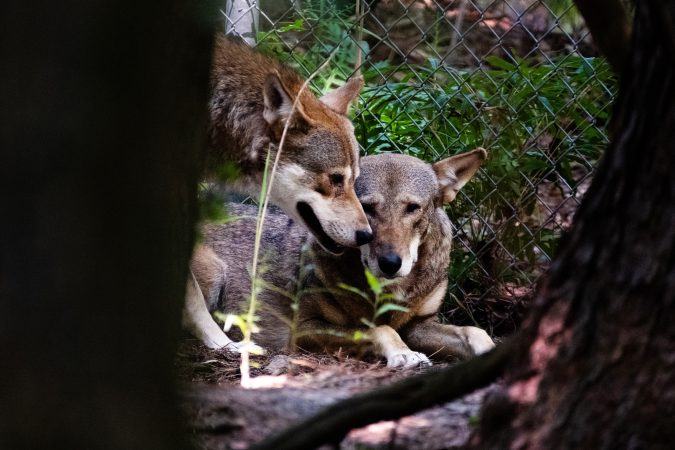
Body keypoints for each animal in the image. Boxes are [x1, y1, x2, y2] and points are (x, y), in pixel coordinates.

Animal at [193, 149, 496, 367]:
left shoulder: (418, 326)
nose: (390, 263)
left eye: (412, 208)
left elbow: (475, 331)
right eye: (367, 208)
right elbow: (380, 330)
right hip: (214, 274)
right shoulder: (303, 330)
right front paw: (404, 353)